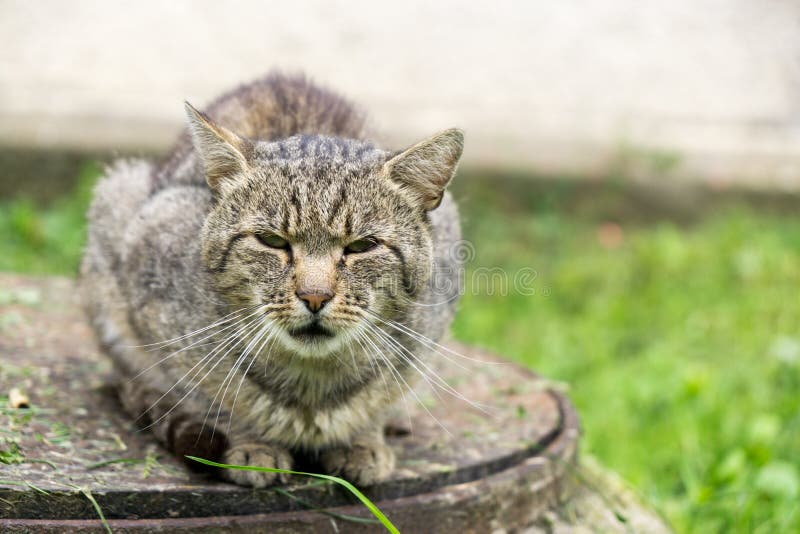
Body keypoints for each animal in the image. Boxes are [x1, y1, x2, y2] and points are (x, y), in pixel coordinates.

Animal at [80, 72, 462, 490]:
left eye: (362, 245)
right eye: (272, 241)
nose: (315, 296)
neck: (312, 383)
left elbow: (380, 398)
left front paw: (364, 441)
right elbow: (212, 393)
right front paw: (252, 444)